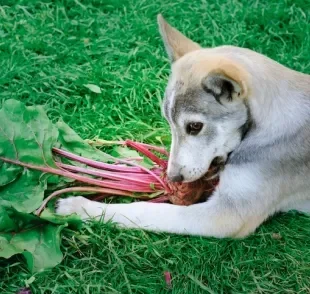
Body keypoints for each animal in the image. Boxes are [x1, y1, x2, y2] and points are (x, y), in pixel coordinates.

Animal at [55, 14, 310, 239]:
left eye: (195, 126)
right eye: (168, 122)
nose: (173, 178)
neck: (265, 123)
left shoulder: (228, 215)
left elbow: (145, 210)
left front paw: (81, 208)